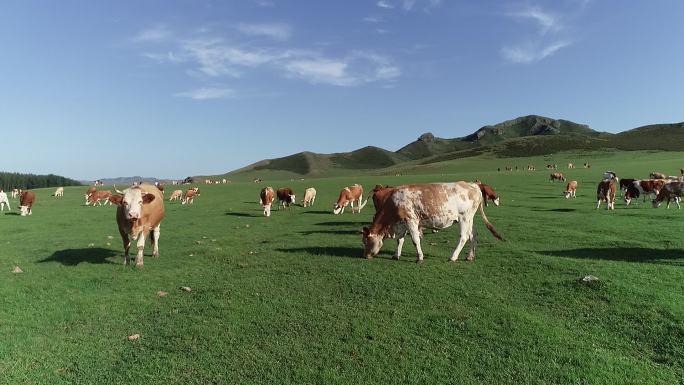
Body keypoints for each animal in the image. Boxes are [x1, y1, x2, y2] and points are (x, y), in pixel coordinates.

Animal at [360, 182, 504, 262]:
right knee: (473, 235)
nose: (365, 256)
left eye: (366, 241)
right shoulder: (402, 223)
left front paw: (419, 258)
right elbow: (400, 240)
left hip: (464, 217)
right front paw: (396, 255)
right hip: (470, 219)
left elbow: (415, 240)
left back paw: (453, 257)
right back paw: (470, 256)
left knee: (463, 237)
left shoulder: (411, 220)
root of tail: (473, 185)